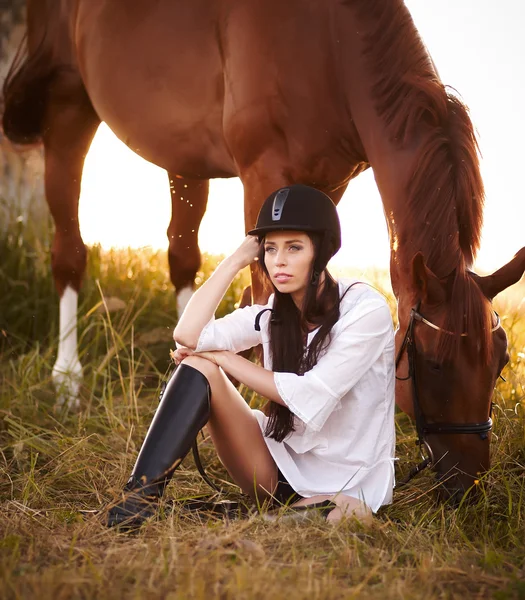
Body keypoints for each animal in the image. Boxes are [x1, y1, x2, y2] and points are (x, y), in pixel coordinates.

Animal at [1, 0, 524, 496]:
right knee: (70, 251)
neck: (331, 49)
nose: (468, 484)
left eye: (500, 362)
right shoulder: (264, 176)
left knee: (181, 254)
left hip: (183, 155)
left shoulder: (325, 188)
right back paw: (67, 379)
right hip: (68, 107)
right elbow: (261, 298)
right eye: (435, 365)